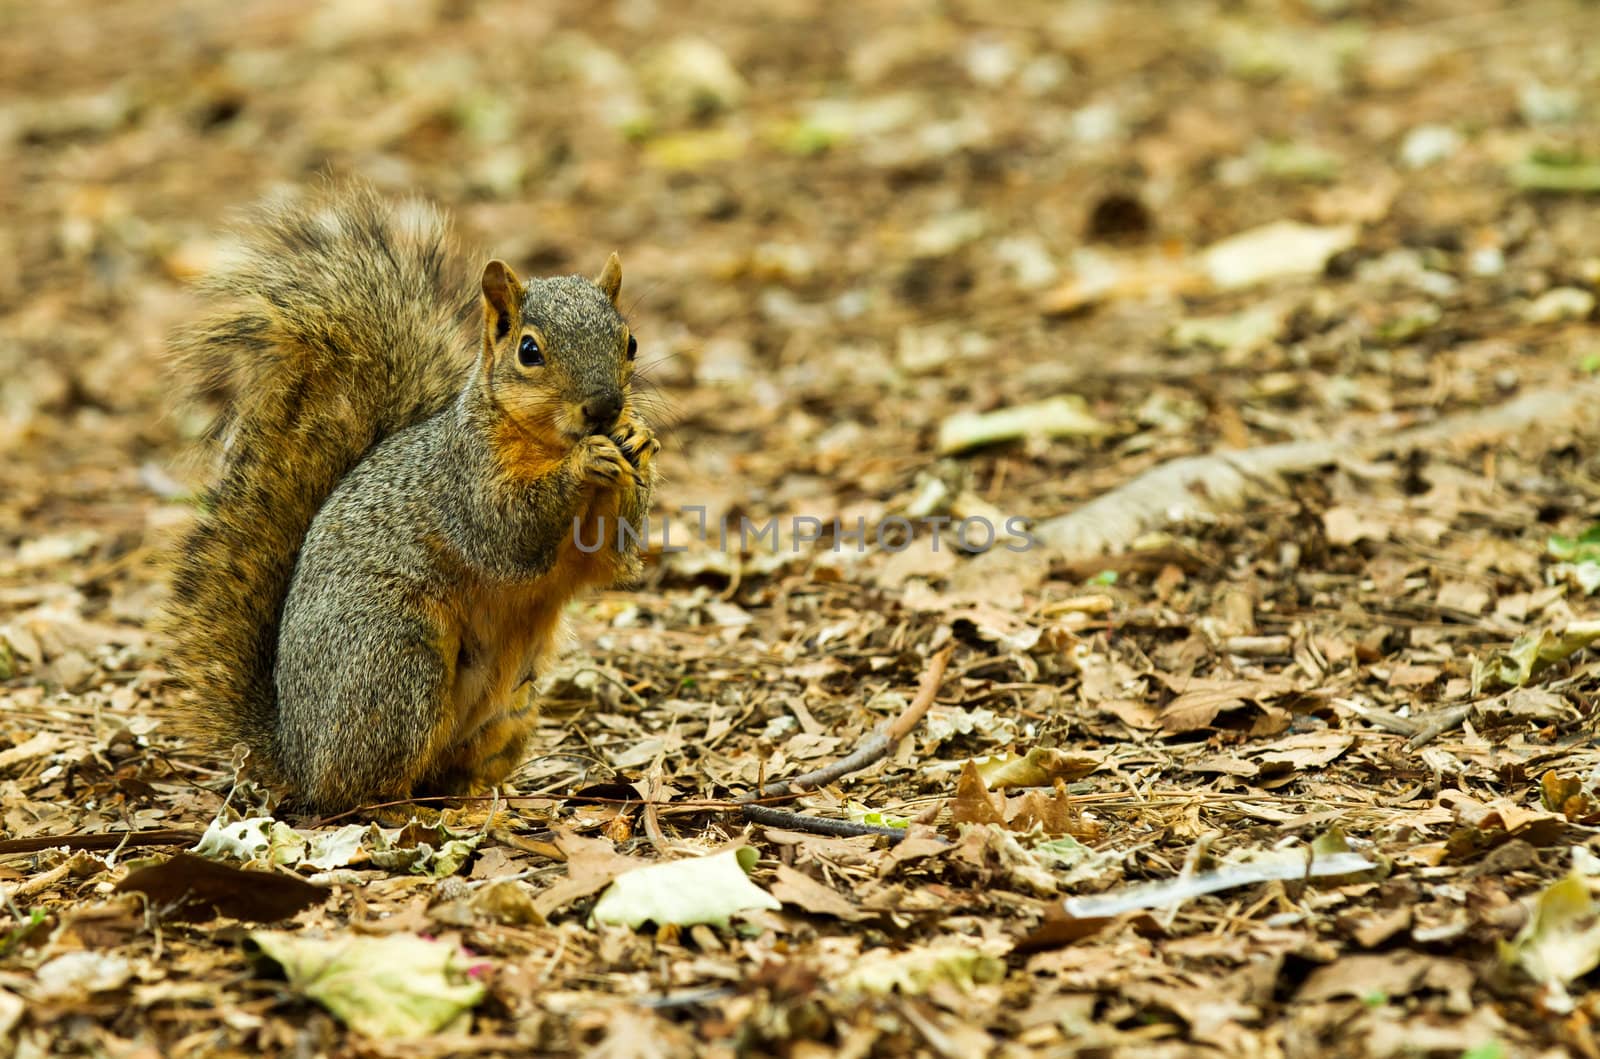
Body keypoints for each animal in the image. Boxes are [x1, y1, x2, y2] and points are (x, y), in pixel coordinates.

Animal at [162, 186, 656, 812]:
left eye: (630, 342)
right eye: (529, 351)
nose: (605, 408)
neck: (544, 441)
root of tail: (298, 757)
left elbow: (610, 560)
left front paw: (639, 443)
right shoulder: (463, 480)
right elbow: (509, 533)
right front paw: (587, 460)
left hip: (512, 707)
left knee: (448, 771)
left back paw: (485, 800)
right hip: (398, 660)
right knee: (364, 787)